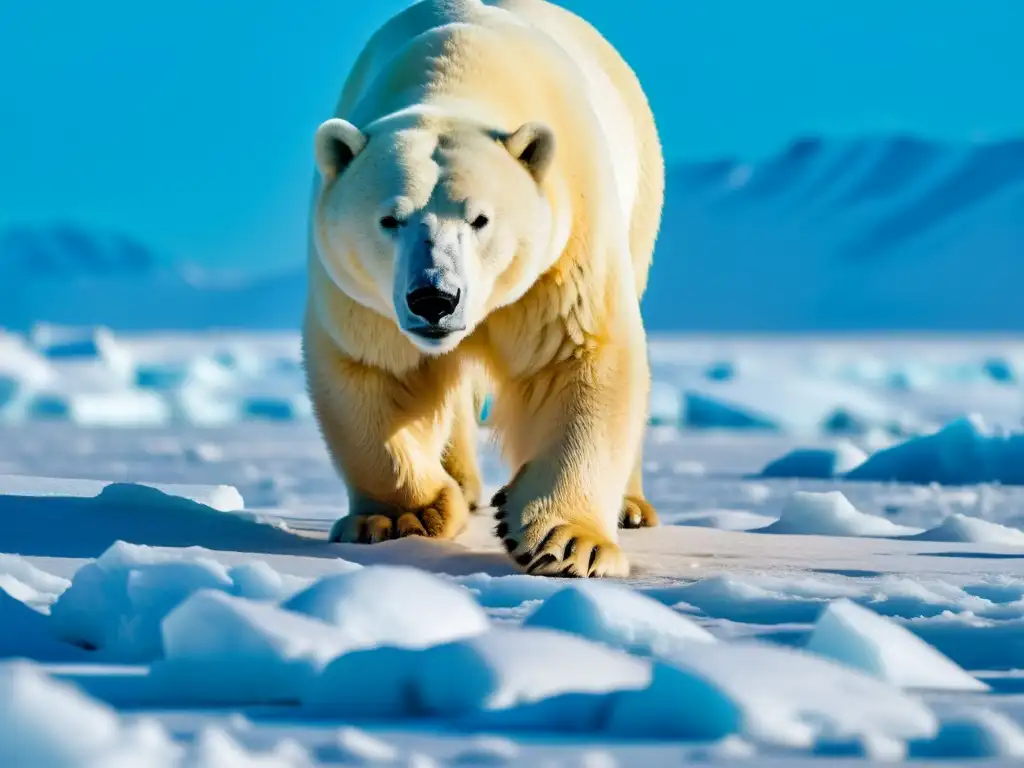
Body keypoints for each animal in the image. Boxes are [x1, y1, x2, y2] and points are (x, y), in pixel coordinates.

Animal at [301, 0, 663, 577]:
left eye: (480, 219)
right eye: (390, 219)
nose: (434, 299)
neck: (458, 74)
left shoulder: (564, 248)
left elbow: (577, 355)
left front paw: (568, 543)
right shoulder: (364, 293)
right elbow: (376, 370)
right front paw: (400, 518)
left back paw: (629, 507)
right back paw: (465, 482)